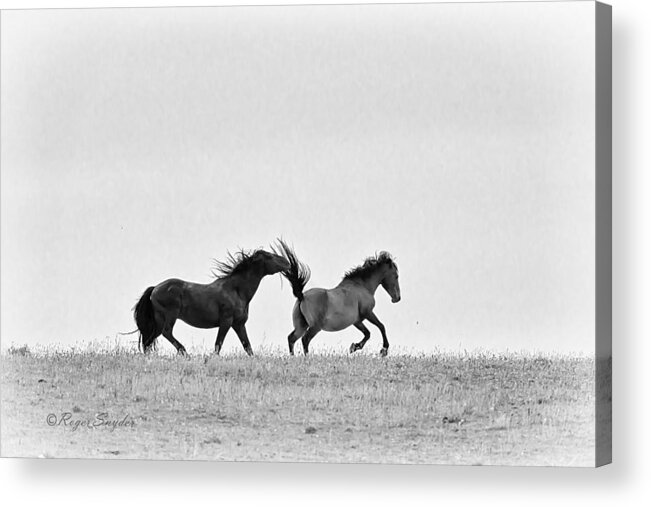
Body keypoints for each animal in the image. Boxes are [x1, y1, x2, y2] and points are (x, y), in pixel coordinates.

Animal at [134, 250, 290, 358]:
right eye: (269, 256)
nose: (287, 262)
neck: (237, 291)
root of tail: (155, 289)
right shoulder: (226, 321)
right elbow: (218, 344)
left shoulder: (239, 324)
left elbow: (248, 347)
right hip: (170, 315)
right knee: (166, 332)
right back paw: (185, 353)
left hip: (159, 319)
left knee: (150, 338)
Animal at [272, 241, 400, 358]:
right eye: (396, 276)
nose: (397, 298)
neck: (361, 286)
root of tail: (302, 296)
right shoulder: (368, 312)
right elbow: (381, 326)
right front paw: (384, 350)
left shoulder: (357, 321)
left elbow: (367, 333)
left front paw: (354, 347)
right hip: (315, 327)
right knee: (305, 339)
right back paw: (308, 358)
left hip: (301, 326)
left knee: (292, 338)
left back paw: (293, 358)